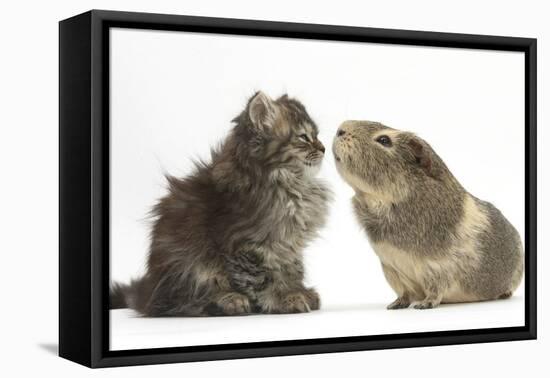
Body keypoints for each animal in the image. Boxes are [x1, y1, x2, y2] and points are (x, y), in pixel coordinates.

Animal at [110, 91, 330, 316]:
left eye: (317, 136)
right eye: (304, 137)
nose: (323, 148)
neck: (288, 182)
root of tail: (146, 293)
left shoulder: (287, 246)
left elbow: (292, 270)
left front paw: (298, 291)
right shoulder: (246, 245)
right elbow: (262, 279)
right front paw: (282, 299)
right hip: (188, 269)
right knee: (185, 302)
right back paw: (230, 300)